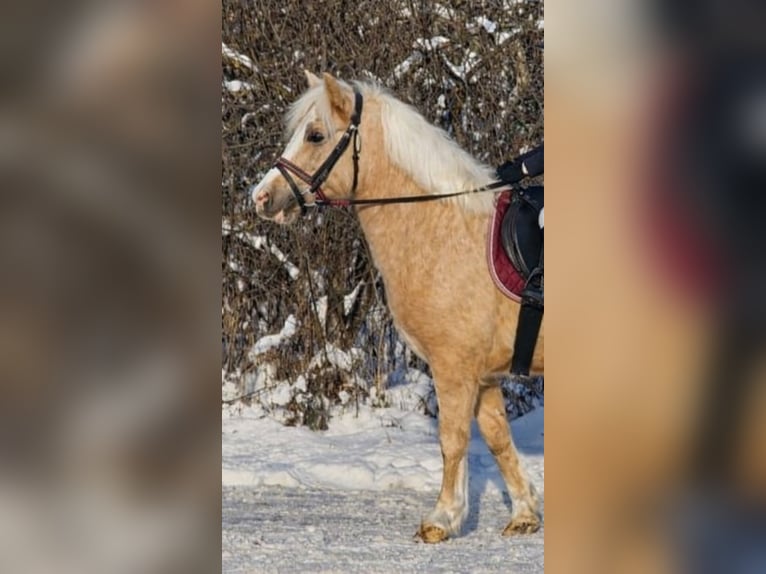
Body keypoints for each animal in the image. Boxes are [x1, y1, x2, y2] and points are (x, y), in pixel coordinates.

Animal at [251, 71, 543, 542]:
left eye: (315, 135)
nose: (261, 198)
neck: (445, 229)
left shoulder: (453, 367)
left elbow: (452, 440)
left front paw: (442, 519)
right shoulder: (483, 375)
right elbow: (498, 439)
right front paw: (523, 514)